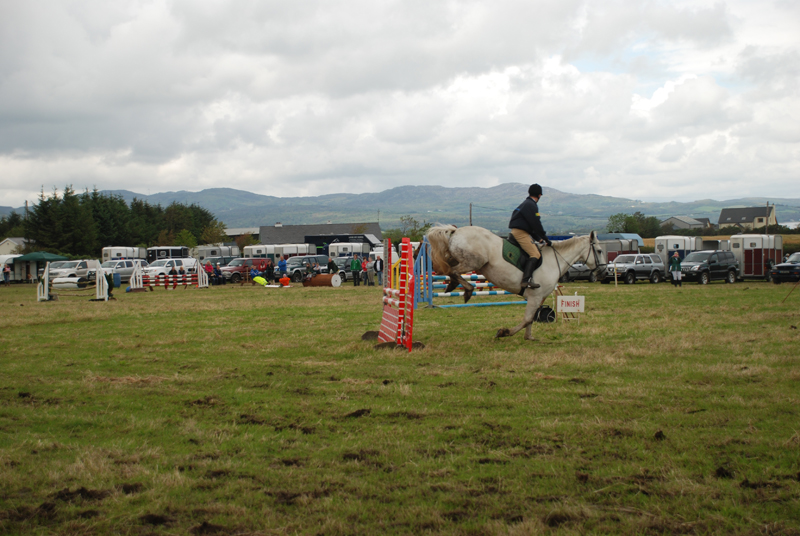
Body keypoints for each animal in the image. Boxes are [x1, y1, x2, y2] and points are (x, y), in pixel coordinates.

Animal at [425, 225, 606, 340]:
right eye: (599, 251)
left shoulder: (537, 297)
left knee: (450, 269)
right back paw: (468, 289)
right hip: (475, 262)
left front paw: (529, 337)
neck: (553, 261)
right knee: (453, 271)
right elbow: (527, 319)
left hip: (464, 259)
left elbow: (531, 318)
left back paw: (452, 285)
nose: (604, 272)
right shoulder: (535, 296)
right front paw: (504, 332)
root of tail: (457, 230)